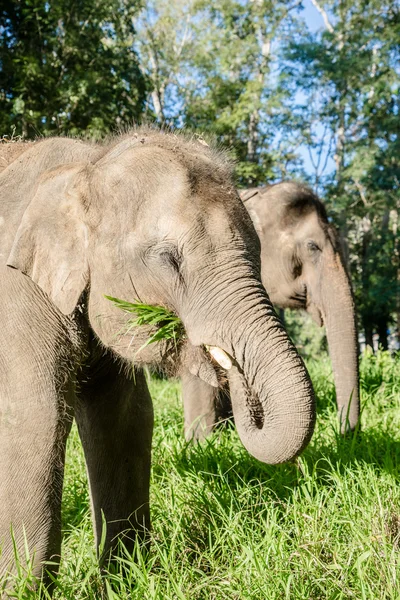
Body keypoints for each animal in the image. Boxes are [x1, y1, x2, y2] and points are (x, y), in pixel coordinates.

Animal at [0, 132, 316, 592]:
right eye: (168, 259)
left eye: (259, 251)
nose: (233, 369)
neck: (88, 166)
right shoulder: (17, 296)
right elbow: (34, 418)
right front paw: (24, 590)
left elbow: (125, 416)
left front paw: (125, 580)